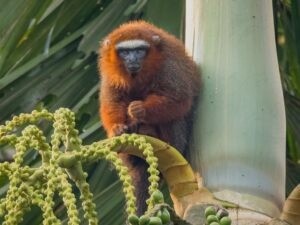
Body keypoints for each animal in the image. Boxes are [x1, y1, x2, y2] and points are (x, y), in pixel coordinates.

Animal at [99, 20, 202, 214]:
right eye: (125, 52)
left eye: (139, 50)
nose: (133, 59)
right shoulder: (110, 74)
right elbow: (112, 102)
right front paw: (118, 127)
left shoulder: (168, 64)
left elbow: (179, 98)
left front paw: (141, 110)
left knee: (175, 119)